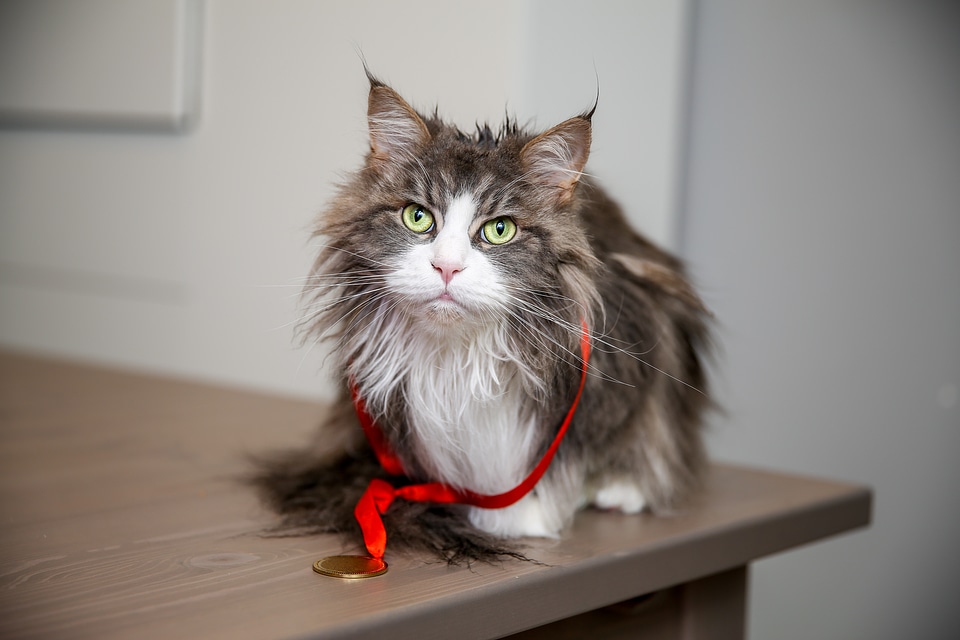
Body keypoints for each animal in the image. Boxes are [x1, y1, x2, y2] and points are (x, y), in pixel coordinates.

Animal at [251, 72, 708, 564]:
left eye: (499, 229)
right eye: (417, 217)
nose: (447, 267)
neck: (456, 358)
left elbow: (568, 455)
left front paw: (522, 516)